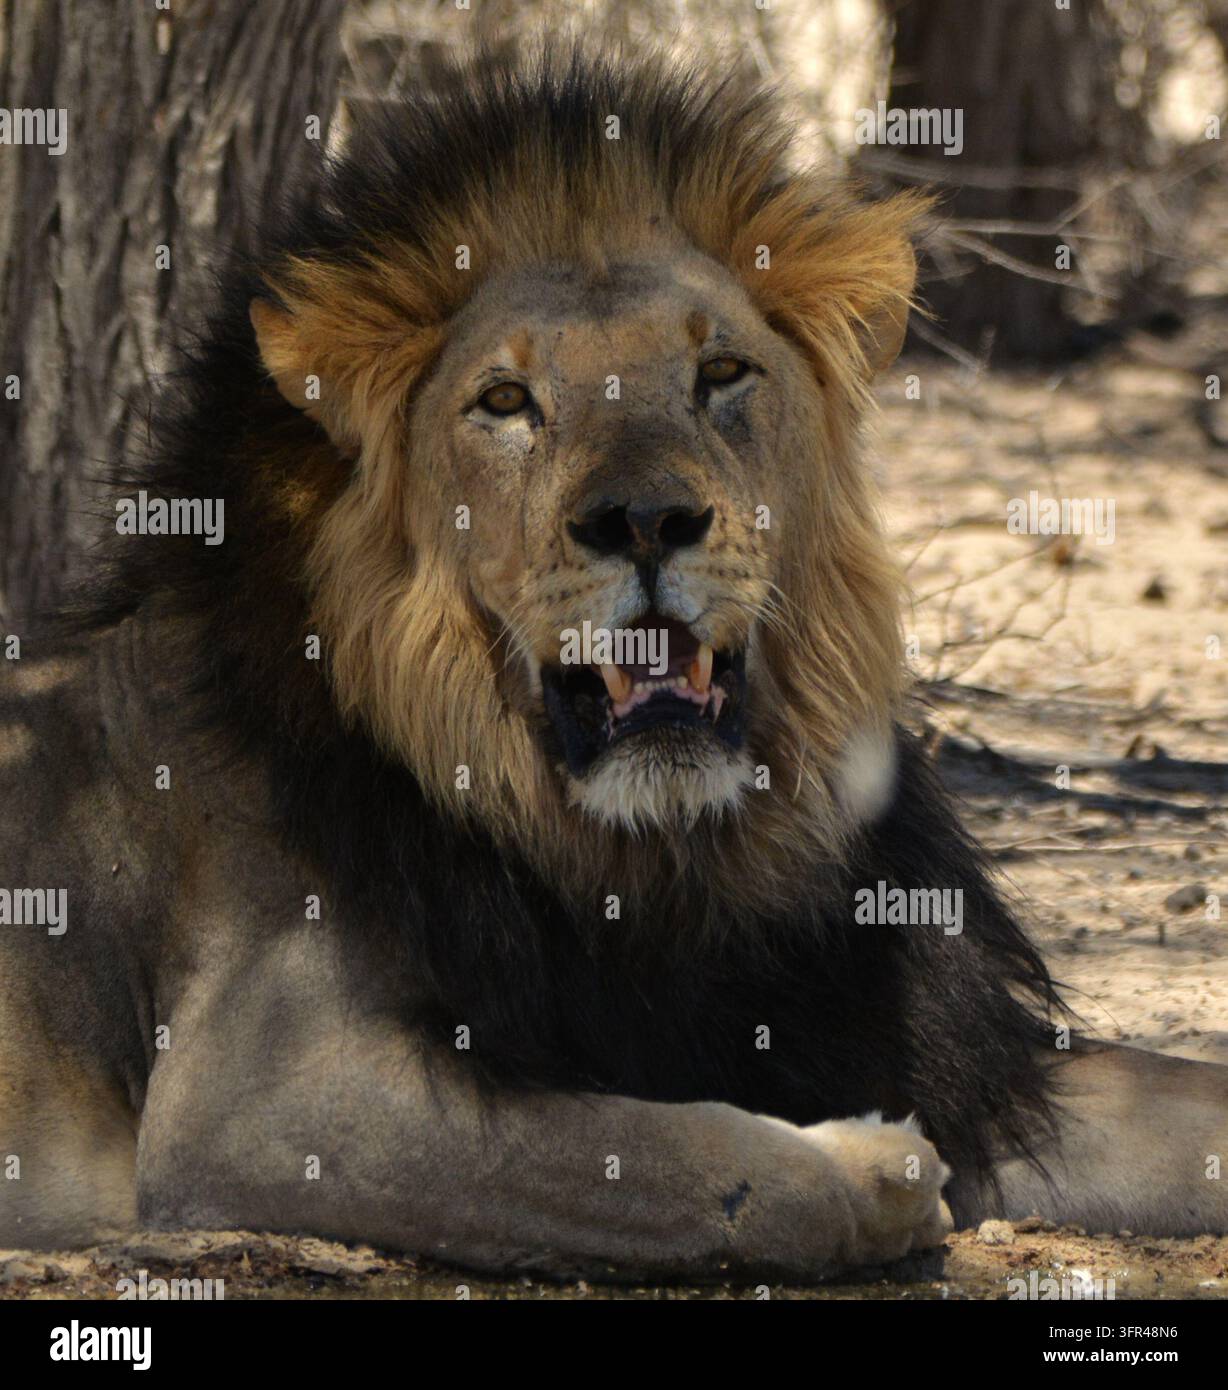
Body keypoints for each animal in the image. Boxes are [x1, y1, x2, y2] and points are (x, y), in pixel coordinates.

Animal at [0, 49, 1225, 1281]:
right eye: (504, 402)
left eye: (721, 372)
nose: (645, 520)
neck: (669, 861)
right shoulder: (263, 1099)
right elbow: (654, 1160)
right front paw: (872, 1169)